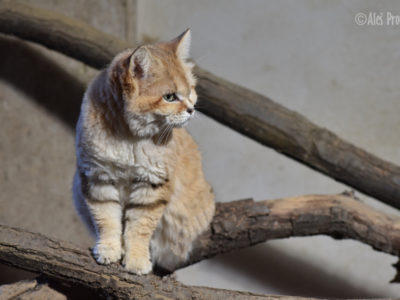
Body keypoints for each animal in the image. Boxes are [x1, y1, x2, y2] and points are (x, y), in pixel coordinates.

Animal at [72, 30, 216, 274]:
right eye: (169, 97)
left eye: (191, 90)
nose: (191, 109)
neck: (129, 137)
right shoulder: (97, 177)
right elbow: (106, 219)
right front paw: (108, 249)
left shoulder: (153, 184)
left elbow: (140, 227)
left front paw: (137, 260)